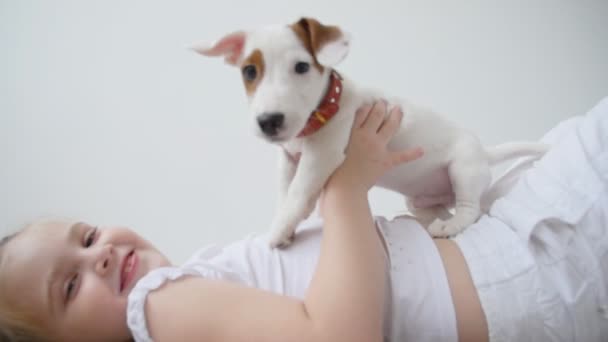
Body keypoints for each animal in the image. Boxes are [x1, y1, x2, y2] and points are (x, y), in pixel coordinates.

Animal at [190, 17, 548, 247]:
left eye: (302, 67)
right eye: (250, 71)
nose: (269, 121)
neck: (322, 110)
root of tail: (485, 152)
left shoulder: (321, 156)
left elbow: (297, 193)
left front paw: (278, 231)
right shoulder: (289, 160)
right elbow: (284, 192)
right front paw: (285, 225)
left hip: (463, 168)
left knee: (470, 210)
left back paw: (450, 226)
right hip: (418, 197)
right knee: (437, 207)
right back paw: (432, 221)